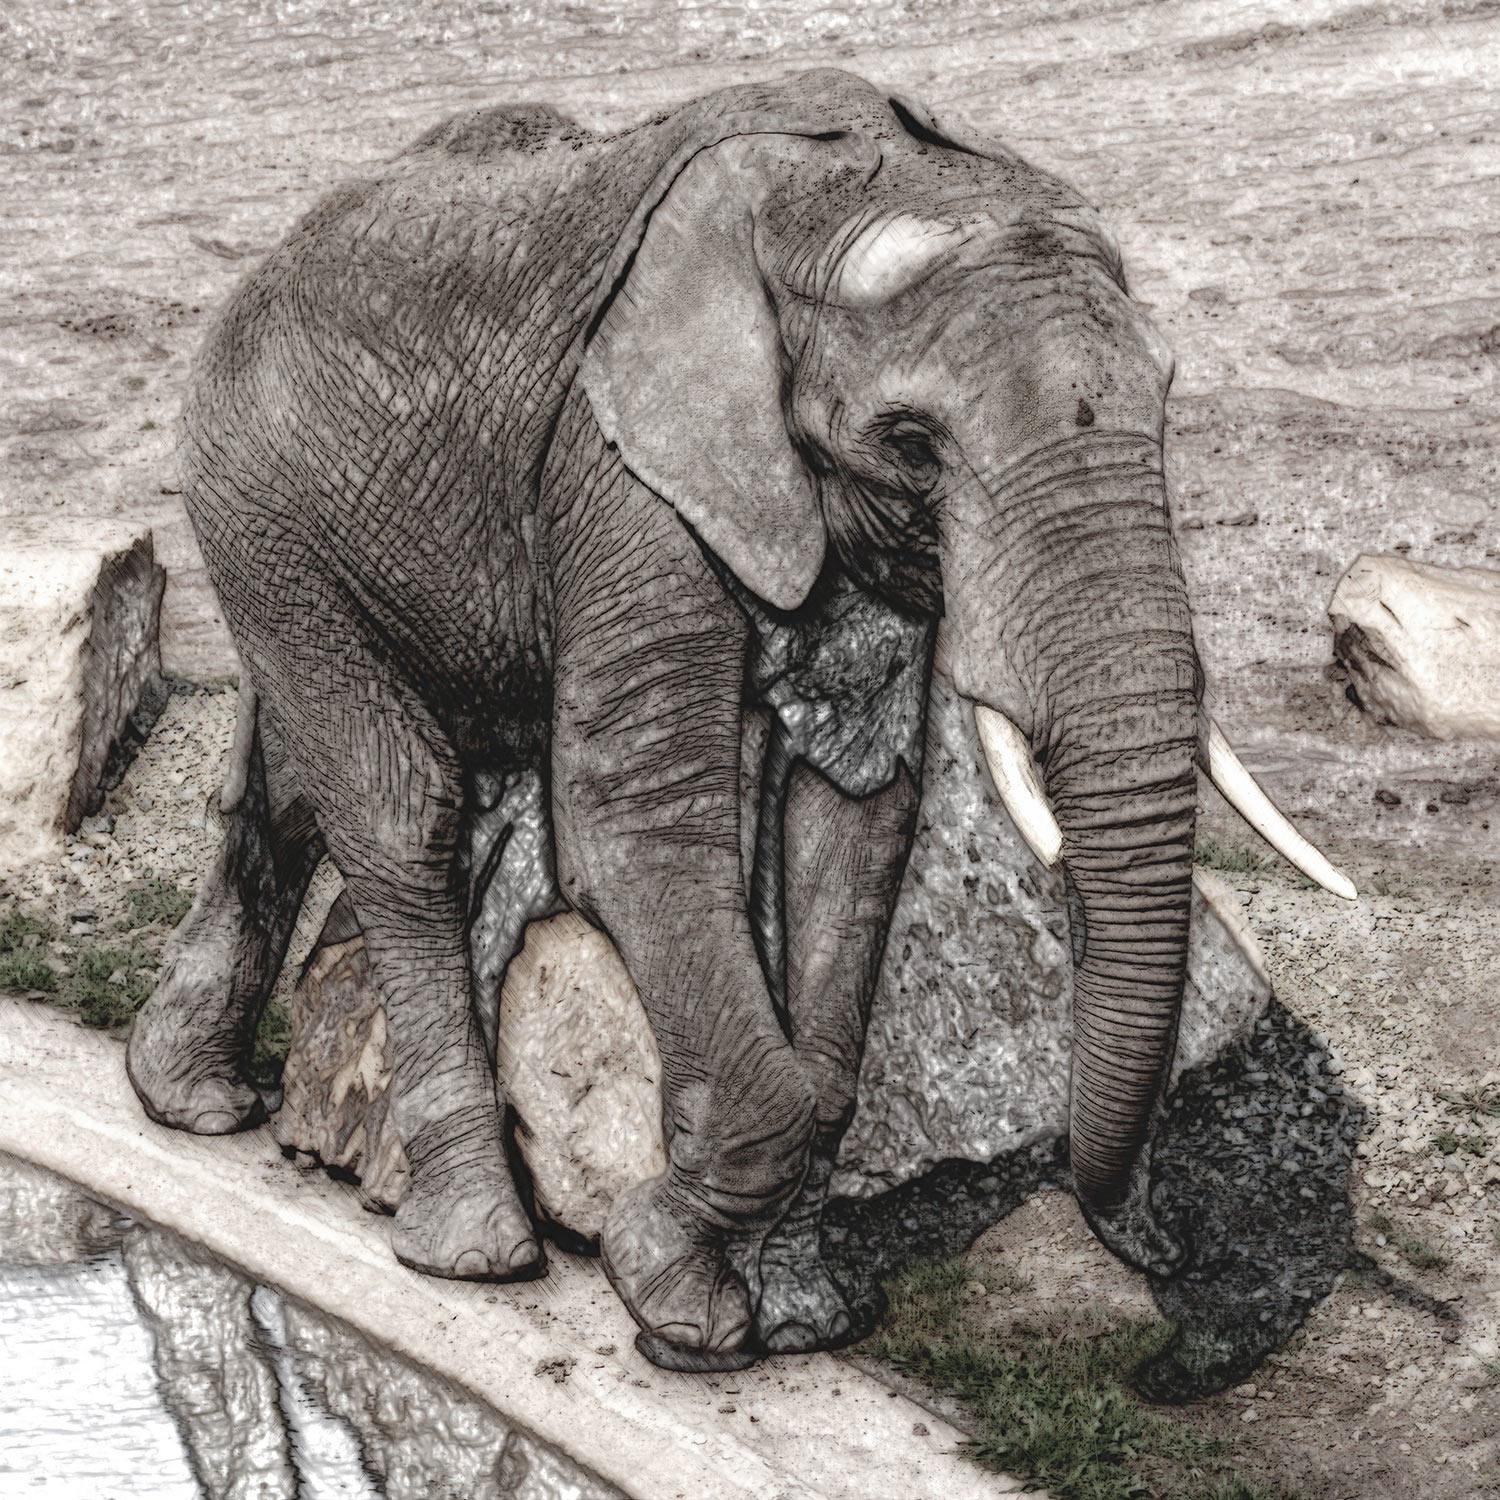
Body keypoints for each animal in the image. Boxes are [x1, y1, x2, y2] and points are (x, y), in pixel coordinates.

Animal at [126, 68, 1354, 1373]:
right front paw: (675, 1305)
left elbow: (857, 820)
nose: (1172, 1247)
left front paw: (806, 1320)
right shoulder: (625, 476)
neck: (855, 194)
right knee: (399, 809)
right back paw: (478, 1252)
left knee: (293, 780)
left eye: (1168, 405)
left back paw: (193, 1103)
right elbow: (637, 825)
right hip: (258, 502)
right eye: (913, 444)